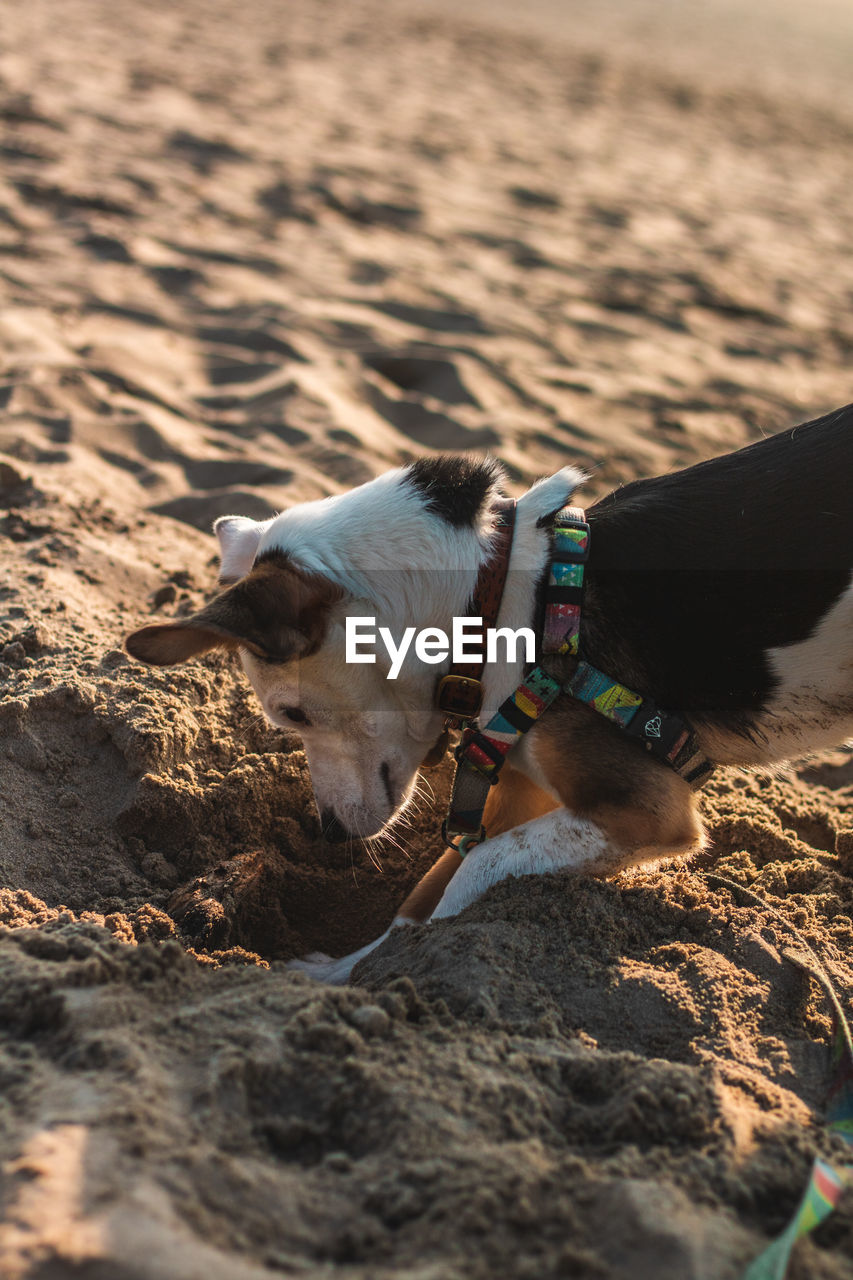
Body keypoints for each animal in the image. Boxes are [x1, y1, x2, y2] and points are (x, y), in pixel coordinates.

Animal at [124, 404, 850, 983]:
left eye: (291, 714)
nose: (328, 831)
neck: (498, 600)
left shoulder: (646, 811)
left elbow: (465, 879)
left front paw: (347, 975)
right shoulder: (525, 784)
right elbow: (427, 893)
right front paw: (352, 965)